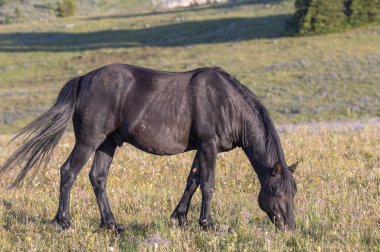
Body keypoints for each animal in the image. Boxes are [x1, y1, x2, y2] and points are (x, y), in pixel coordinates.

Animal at [0, 64, 296, 232]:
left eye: (294, 192)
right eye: (276, 191)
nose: (290, 227)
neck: (226, 102)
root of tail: (84, 79)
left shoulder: (201, 149)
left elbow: (193, 181)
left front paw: (179, 218)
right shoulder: (208, 146)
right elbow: (208, 184)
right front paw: (206, 224)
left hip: (107, 143)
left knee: (98, 178)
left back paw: (111, 224)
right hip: (89, 140)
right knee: (68, 172)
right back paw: (64, 221)